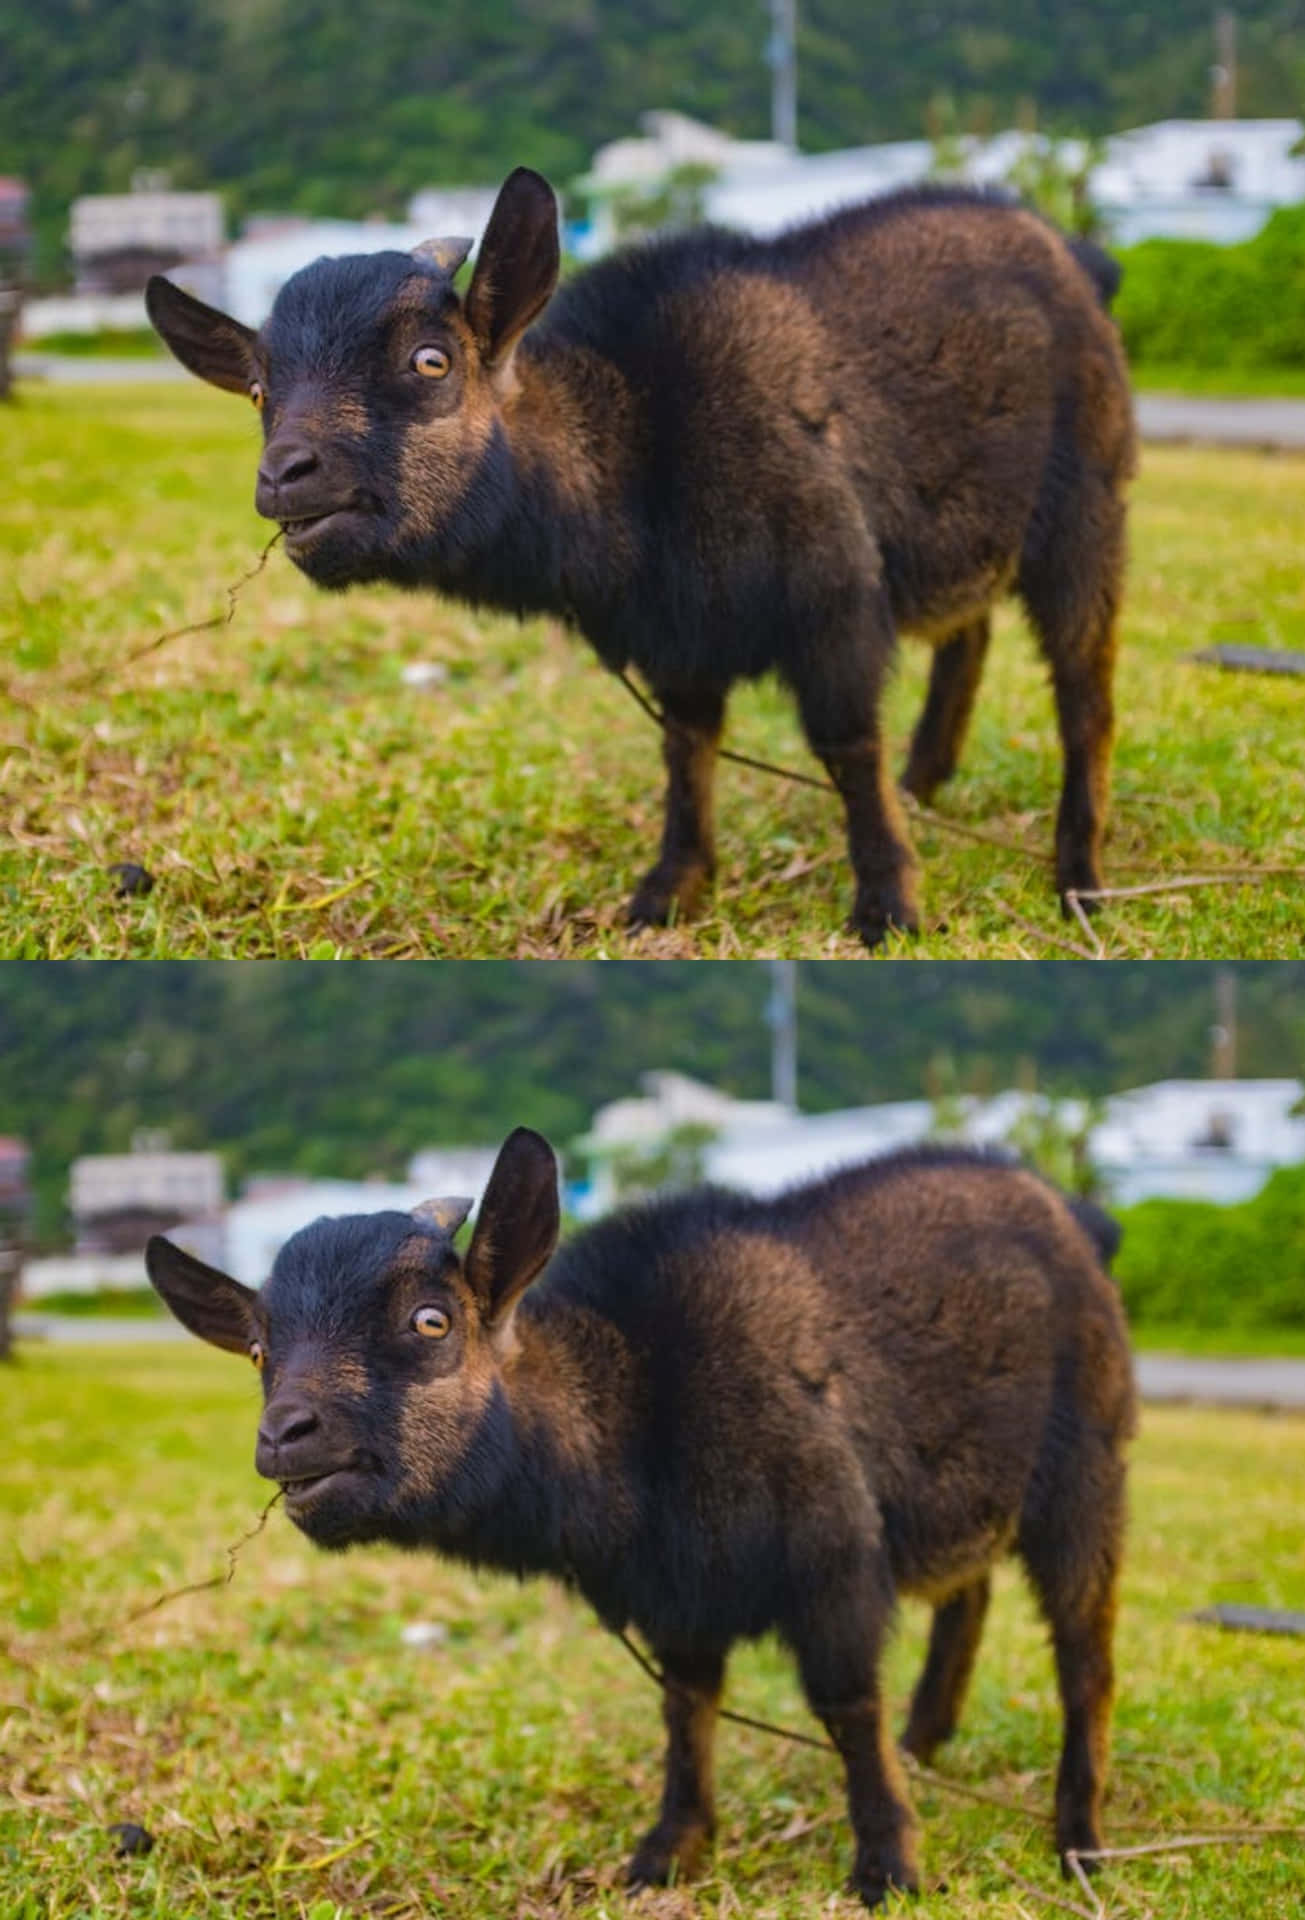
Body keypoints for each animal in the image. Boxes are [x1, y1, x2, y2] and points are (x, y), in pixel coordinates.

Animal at [147, 168, 1136, 948]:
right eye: (260, 391)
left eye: (431, 361)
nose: (285, 476)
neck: (641, 444)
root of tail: (1074, 258)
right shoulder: (678, 639)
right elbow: (685, 750)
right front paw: (668, 890)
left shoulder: (834, 596)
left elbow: (845, 743)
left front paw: (887, 902)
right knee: (967, 637)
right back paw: (925, 784)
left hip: (1085, 505)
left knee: (1083, 690)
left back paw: (1078, 877)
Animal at [150, 1128, 1128, 1896]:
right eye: (259, 1350)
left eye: (432, 1321)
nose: (286, 1436)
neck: (641, 1405)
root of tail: (1072, 1216)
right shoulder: (677, 1599)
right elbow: (685, 1711)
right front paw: (668, 1851)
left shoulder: (834, 1556)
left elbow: (846, 1704)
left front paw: (887, 1862)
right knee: (969, 1594)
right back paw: (926, 1742)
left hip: (1084, 1467)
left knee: (1083, 1653)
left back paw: (1078, 1839)